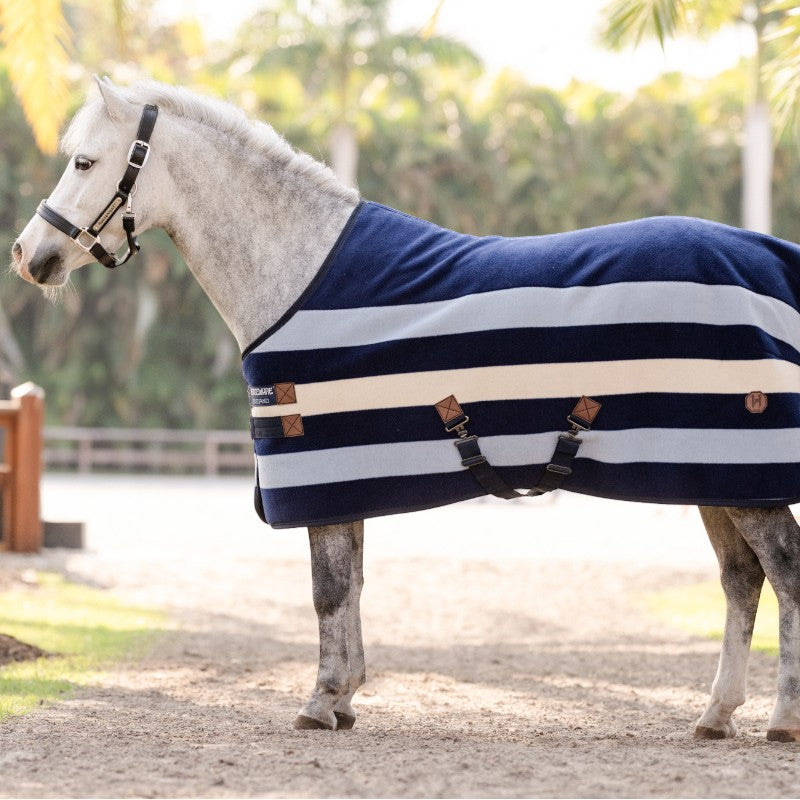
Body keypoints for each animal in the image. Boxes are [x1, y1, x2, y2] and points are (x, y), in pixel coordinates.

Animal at [11, 77, 800, 742]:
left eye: (83, 162)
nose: (27, 255)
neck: (299, 269)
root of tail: (765, 255)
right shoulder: (345, 481)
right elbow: (353, 584)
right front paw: (346, 699)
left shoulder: (320, 474)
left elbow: (328, 591)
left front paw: (319, 701)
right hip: (714, 478)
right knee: (741, 580)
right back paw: (715, 715)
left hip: (742, 477)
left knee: (784, 571)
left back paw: (781, 719)